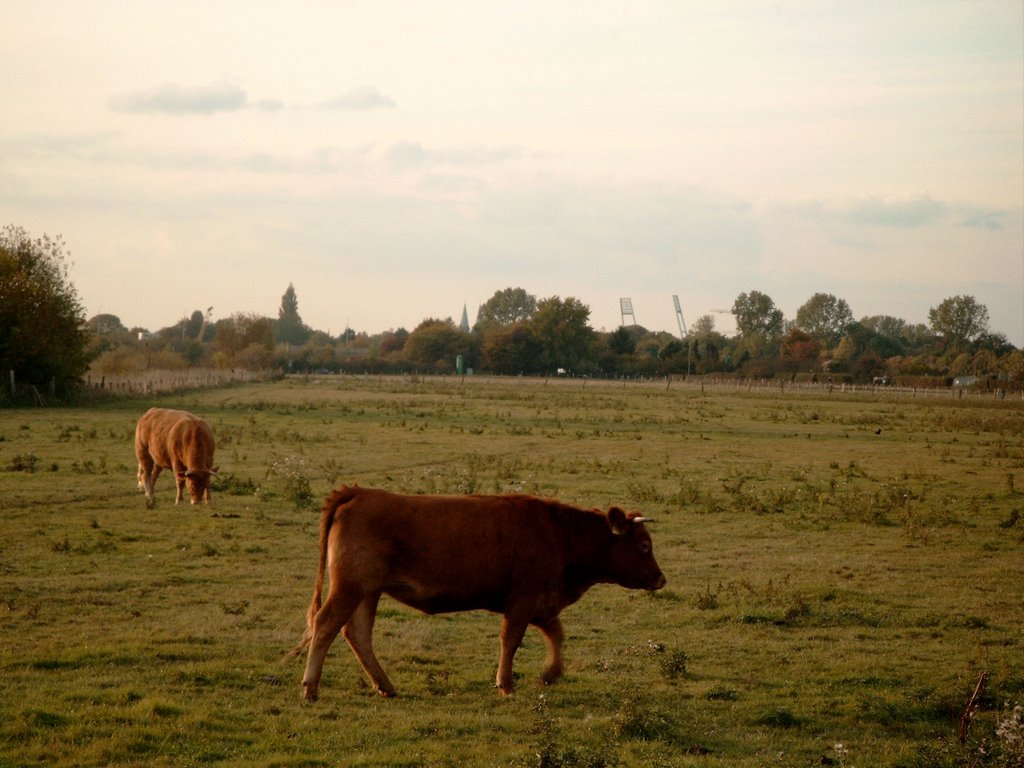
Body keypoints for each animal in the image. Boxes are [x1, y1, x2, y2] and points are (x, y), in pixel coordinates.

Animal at [292, 487, 667, 704]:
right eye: (644, 546)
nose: (661, 579)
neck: (560, 534)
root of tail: (359, 493)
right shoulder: (522, 601)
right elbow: (511, 641)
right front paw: (506, 683)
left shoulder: (542, 605)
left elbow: (557, 636)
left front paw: (549, 673)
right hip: (350, 587)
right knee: (325, 626)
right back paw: (310, 687)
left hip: (368, 592)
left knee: (357, 634)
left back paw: (385, 685)